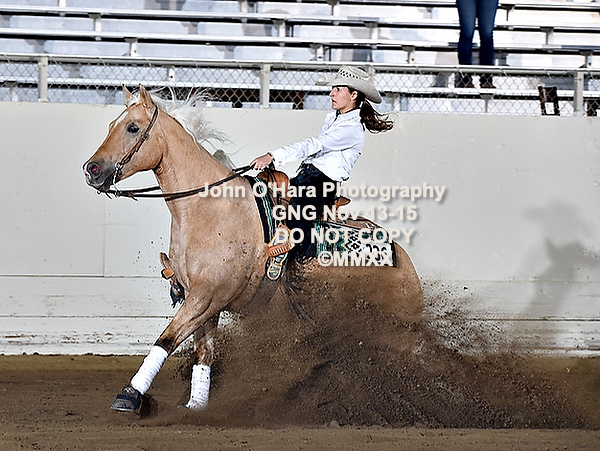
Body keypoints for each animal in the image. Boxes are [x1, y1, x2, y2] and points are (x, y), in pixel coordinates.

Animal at [82, 85, 423, 412]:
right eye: (112, 125)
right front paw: (196, 405)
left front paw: (129, 395)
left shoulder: (207, 295)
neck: (209, 208)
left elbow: (166, 339)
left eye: (132, 127)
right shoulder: (204, 299)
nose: (91, 169)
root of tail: (405, 262)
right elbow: (203, 353)